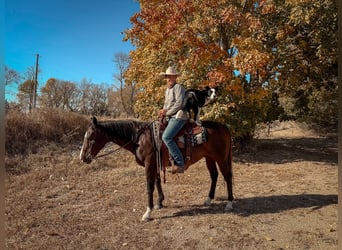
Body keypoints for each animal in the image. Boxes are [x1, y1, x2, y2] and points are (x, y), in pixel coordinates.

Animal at [80, 116, 234, 221]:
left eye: (91, 136)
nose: (82, 157)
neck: (139, 138)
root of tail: (224, 127)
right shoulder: (155, 164)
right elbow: (157, 181)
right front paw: (160, 202)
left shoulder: (150, 164)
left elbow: (149, 186)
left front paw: (148, 212)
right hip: (209, 158)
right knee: (214, 175)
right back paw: (208, 199)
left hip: (220, 158)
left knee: (227, 176)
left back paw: (229, 203)